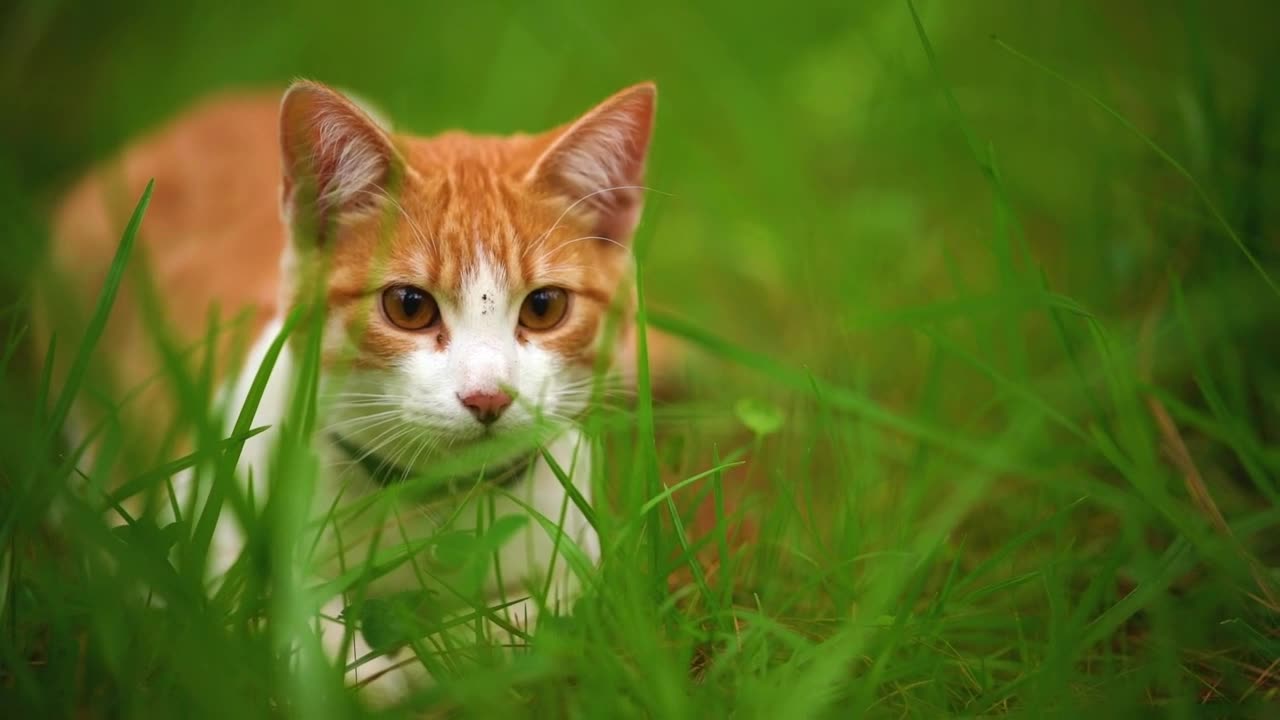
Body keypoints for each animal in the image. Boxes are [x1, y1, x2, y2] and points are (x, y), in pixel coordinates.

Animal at [41, 79, 660, 702]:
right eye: (409, 306)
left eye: (544, 307)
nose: (488, 397)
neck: (433, 505)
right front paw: (370, 667)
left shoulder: (582, 554)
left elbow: (535, 620)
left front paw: (448, 652)